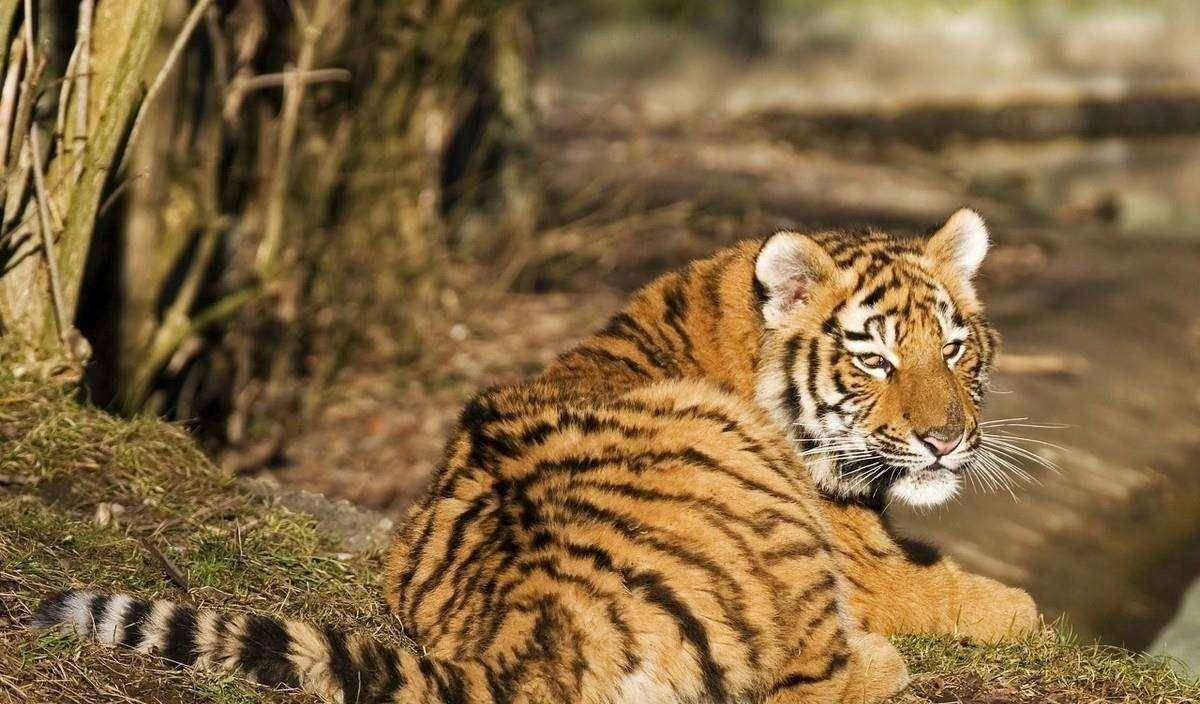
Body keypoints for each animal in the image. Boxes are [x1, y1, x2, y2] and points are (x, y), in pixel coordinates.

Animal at [35, 208, 1039, 704]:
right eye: (875, 359)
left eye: (953, 349)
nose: (946, 439)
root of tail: (544, 620)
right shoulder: (862, 564)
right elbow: (958, 590)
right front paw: (1019, 609)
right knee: (812, 681)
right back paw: (884, 665)